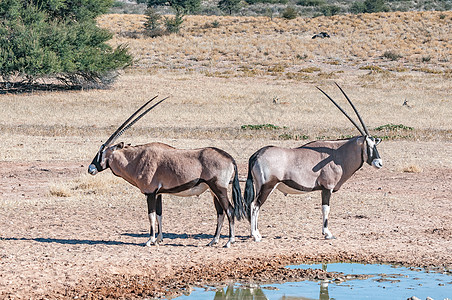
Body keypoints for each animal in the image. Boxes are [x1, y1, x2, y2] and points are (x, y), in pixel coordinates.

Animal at [87, 96, 245, 248]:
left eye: (101, 152)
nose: (90, 169)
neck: (136, 159)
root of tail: (230, 158)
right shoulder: (158, 194)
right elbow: (159, 215)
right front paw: (158, 239)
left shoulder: (150, 193)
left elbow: (151, 216)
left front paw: (149, 240)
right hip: (213, 191)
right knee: (220, 213)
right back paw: (213, 241)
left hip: (219, 189)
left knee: (229, 210)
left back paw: (229, 241)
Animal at [244, 84, 382, 241]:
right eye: (368, 145)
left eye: (375, 144)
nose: (379, 163)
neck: (337, 154)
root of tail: (256, 155)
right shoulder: (327, 187)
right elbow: (325, 208)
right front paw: (327, 233)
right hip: (267, 186)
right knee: (255, 205)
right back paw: (256, 235)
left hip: (259, 185)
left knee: (252, 205)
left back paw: (255, 233)